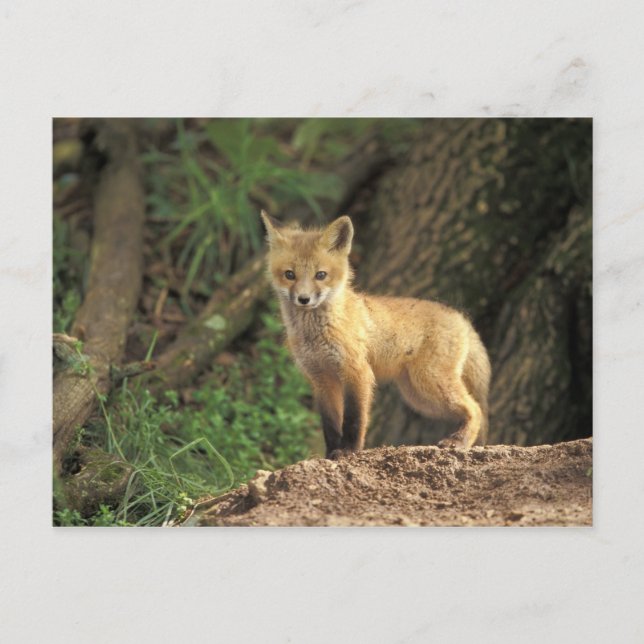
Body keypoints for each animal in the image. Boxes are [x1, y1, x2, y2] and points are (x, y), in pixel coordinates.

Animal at [260, 210, 491, 459]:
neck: (316, 334)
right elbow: (330, 424)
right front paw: (331, 454)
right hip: (420, 397)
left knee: (476, 408)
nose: (304, 299)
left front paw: (349, 451)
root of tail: (460, 317)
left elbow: (354, 419)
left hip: (430, 382)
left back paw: (459, 441)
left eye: (320, 275)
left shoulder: (357, 372)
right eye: (289, 275)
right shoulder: (321, 379)